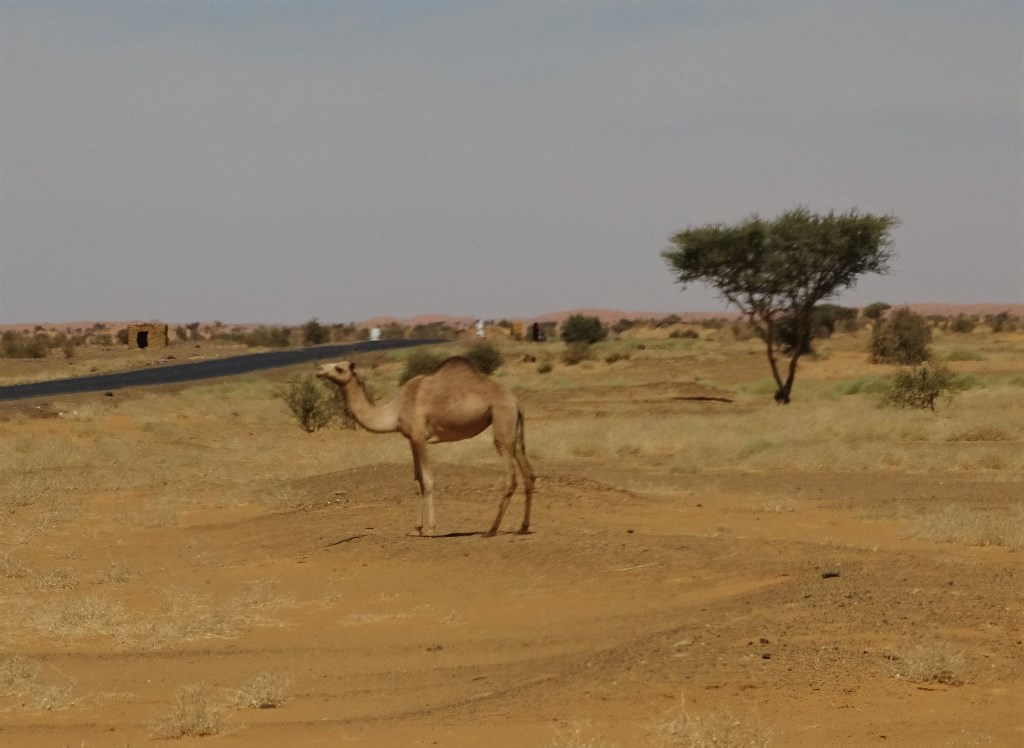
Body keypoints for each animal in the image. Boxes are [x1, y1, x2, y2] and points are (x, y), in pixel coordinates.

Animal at [315, 354, 536, 536]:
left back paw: (491, 529)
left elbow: (428, 481)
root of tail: (517, 402)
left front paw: (430, 528)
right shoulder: (411, 439)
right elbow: (417, 481)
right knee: (528, 473)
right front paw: (417, 528)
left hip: (501, 418)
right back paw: (523, 527)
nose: (319, 370)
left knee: (510, 476)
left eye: (339, 368)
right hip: (512, 429)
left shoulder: (421, 436)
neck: (395, 410)